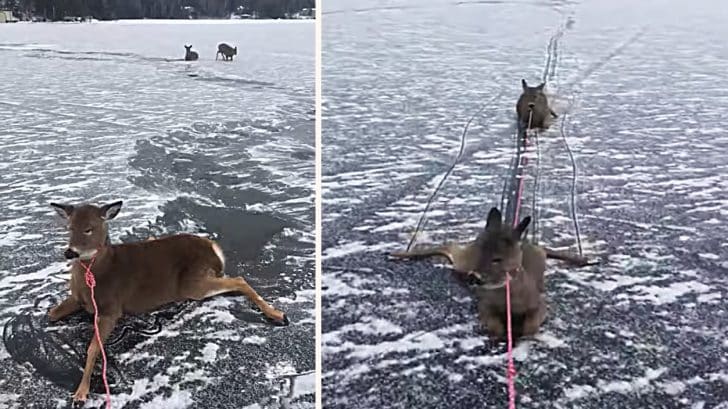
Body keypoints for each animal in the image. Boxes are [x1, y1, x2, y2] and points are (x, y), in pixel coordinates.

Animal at [47, 201, 288, 403]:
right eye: (69, 227)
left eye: (89, 228)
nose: (70, 253)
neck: (92, 279)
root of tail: (214, 248)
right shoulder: (78, 299)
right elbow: (51, 314)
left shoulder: (111, 309)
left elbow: (93, 348)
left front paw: (81, 393)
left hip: (192, 283)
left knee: (239, 279)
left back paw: (277, 315)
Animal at [390, 207, 597, 340]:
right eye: (481, 251)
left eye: (498, 258)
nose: (475, 277)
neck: (510, 299)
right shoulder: (484, 304)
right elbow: (494, 326)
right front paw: (503, 333)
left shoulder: (541, 304)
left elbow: (531, 327)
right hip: (464, 260)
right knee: (451, 247)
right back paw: (398, 253)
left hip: (539, 256)